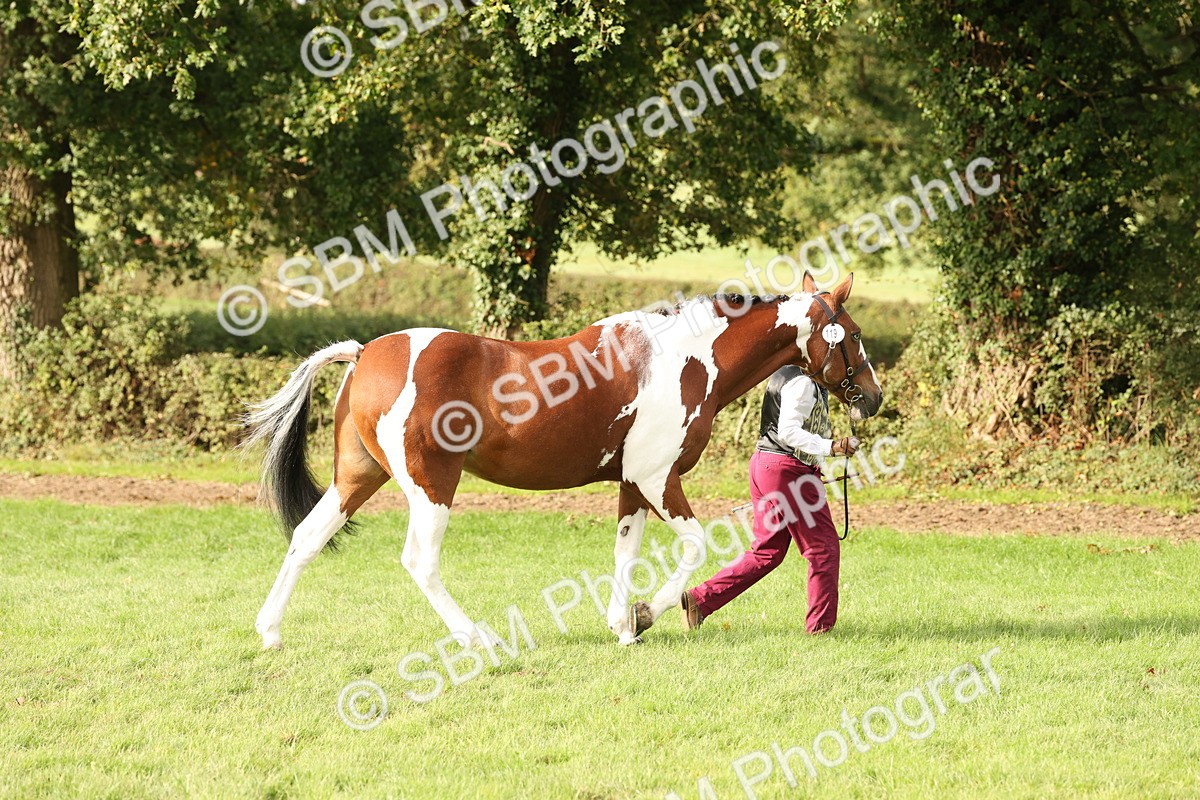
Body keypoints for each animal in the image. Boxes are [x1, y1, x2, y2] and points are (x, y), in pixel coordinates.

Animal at [246, 271, 882, 650]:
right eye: (851, 333)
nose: (873, 398)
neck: (686, 358)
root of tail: (365, 352)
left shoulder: (632, 484)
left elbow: (625, 552)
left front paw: (623, 626)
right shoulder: (659, 480)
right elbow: (696, 545)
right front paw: (645, 615)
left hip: (358, 477)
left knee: (306, 537)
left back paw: (270, 632)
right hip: (432, 485)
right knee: (419, 560)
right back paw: (478, 637)